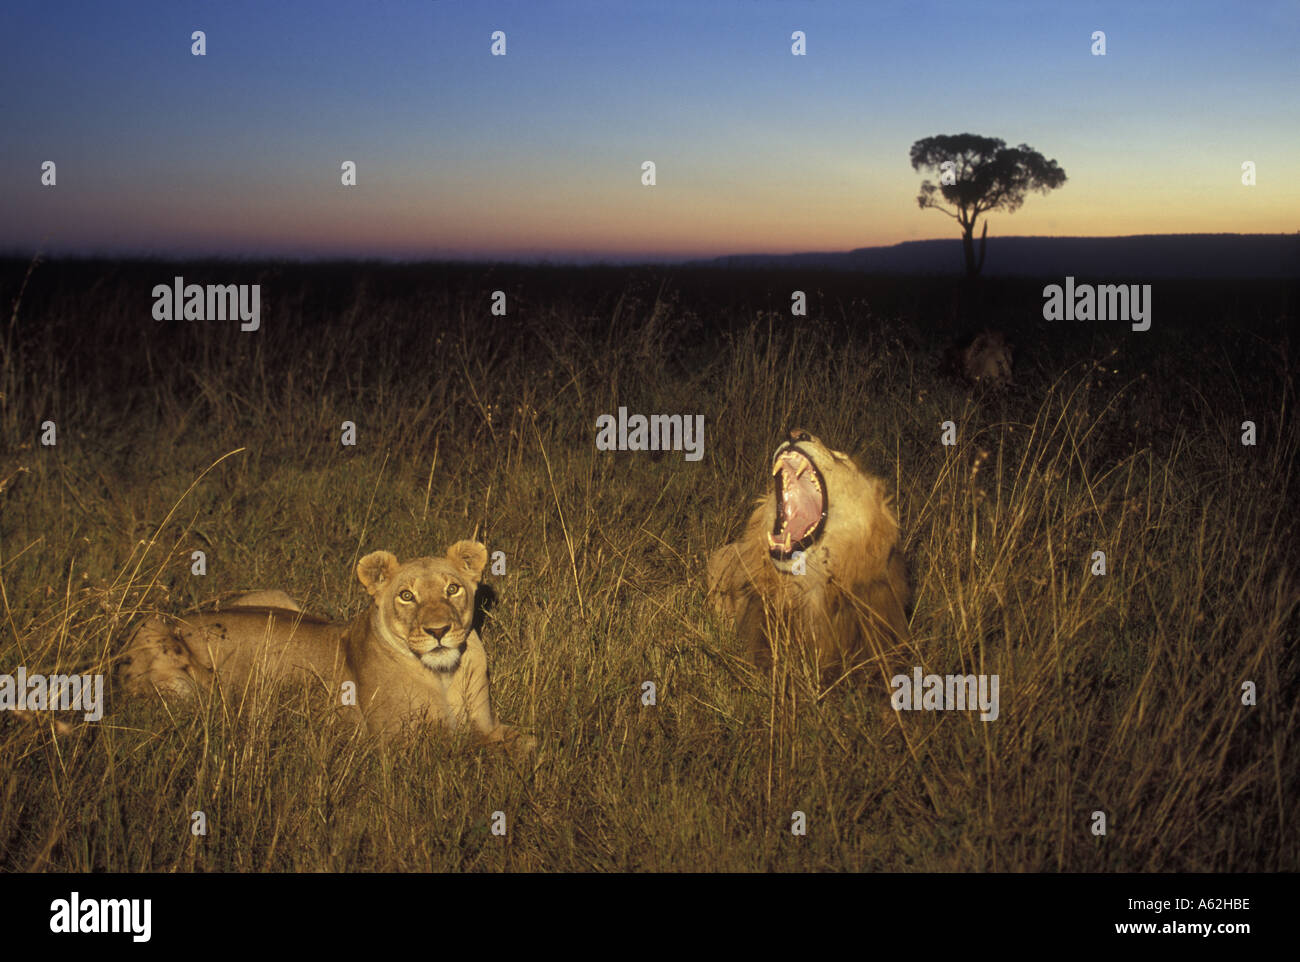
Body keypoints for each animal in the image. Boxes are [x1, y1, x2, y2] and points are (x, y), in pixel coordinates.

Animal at [117, 541, 533, 754]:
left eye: (453, 589)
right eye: (406, 595)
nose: (439, 630)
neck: (444, 674)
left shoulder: (485, 719)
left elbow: (520, 737)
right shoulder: (397, 743)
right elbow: (473, 748)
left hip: (277, 597)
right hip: (154, 633)